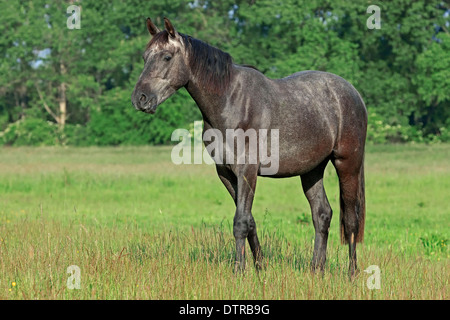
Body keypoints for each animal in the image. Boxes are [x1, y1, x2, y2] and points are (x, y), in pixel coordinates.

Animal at [132, 18, 368, 278]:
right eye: (145, 57)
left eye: (166, 57)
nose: (140, 98)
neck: (230, 102)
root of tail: (353, 93)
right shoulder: (226, 173)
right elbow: (250, 220)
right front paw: (259, 266)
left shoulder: (247, 170)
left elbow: (240, 222)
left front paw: (239, 271)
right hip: (311, 170)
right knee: (322, 214)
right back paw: (316, 270)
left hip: (347, 164)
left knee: (351, 219)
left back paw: (352, 273)